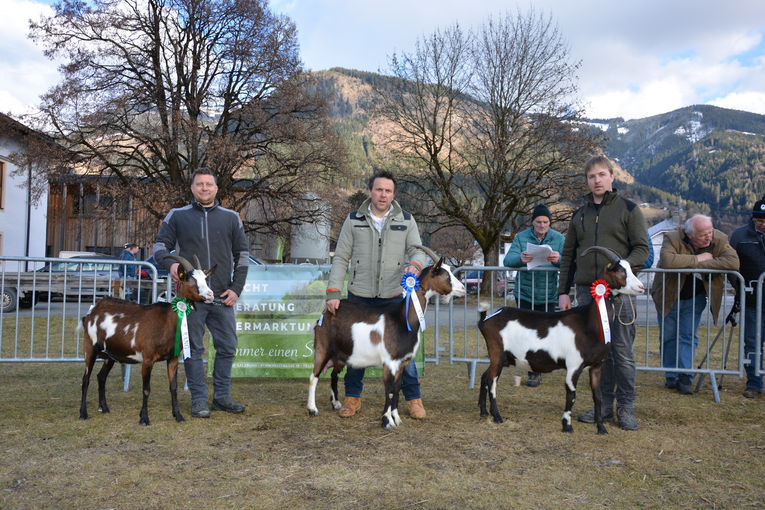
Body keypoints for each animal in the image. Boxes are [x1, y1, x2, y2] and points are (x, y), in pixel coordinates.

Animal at [79, 255, 215, 426]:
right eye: (191, 280)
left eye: (205, 278)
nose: (210, 295)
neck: (167, 321)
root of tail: (92, 312)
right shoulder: (147, 359)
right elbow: (146, 389)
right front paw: (144, 418)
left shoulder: (173, 358)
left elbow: (173, 387)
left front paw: (178, 415)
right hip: (90, 348)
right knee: (86, 379)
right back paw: (83, 413)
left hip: (110, 355)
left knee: (101, 377)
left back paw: (104, 408)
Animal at [306, 245, 466, 428]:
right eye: (446, 275)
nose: (463, 288)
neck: (402, 318)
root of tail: (325, 313)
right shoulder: (389, 362)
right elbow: (389, 391)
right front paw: (387, 420)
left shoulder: (402, 363)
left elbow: (396, 390)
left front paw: (396, 418)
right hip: (323, 348)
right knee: (314, 376)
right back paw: (312, 409)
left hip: (342, 354)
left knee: (333, 375)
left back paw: (336, 404)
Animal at [478, 247, 644, 434]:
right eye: (620, 270)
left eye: (631, 269)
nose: (641, 288)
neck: (588, 322)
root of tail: (487, 319)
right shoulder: (573, 365)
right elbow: (571, 395)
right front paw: (567, 425)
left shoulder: (596, 366)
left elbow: (598, 396)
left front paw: (601, 428)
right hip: (497, 353)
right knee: (492, 381)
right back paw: (497, 416)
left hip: (504, 358)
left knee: (485, 376)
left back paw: (483, 412)